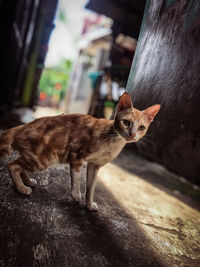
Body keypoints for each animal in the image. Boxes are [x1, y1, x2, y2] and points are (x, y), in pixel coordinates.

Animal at [0, 92, 160, 211]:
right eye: (126, 122)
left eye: (141, 128)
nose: (132, 135)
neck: (113, 140)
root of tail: (22, 126)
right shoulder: (77, 155)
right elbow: (76, 179)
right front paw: (76, 196)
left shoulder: (95, 165)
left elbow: (91, 186)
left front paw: (89, 204)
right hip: (43, 158)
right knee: (12, 164)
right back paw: (21, 187)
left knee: (19, 165)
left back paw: (27, 181)